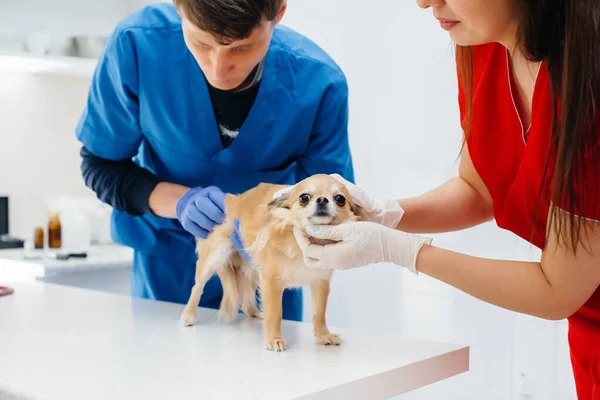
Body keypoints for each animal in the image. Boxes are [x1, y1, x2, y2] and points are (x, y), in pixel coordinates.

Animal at [180, 173, 364, 352]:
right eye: (304, 198)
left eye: (340, 199)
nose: (322, 200)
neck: (307, 241)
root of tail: (234, 200)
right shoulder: (271, 281)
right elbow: (275, 314)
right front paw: (274, 339)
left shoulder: (320, 282)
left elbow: (319, 314)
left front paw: (323, 336)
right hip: (215, 256)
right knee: (197, 287)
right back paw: (188, 315)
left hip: (252, 265)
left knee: (246, 289)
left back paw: (255, 312)